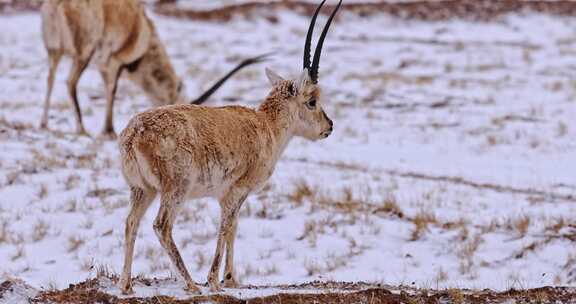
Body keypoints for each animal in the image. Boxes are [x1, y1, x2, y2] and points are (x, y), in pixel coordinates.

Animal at [40, 0, 264, 138]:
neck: (143, 31)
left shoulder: (106, 66)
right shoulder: (114, 63)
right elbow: (112, 90)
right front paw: (109, 130)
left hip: (54, 51)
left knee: (50, 78)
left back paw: (44, 124)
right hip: (84, 52)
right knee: (70, 82)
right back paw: (81, 129)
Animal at [117, 0, 342, 294]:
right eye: (312, 101)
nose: (329, 126)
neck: (266, 125)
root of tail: (134, 134)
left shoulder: (232, 197)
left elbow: (233, 226)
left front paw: (231, 278)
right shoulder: (234, 192)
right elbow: (224, 227)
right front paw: (214, 281)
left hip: (142, 190)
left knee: (131, 222)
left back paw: (126, 286)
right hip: (175, 189)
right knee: (161, 226)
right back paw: (191, 284)